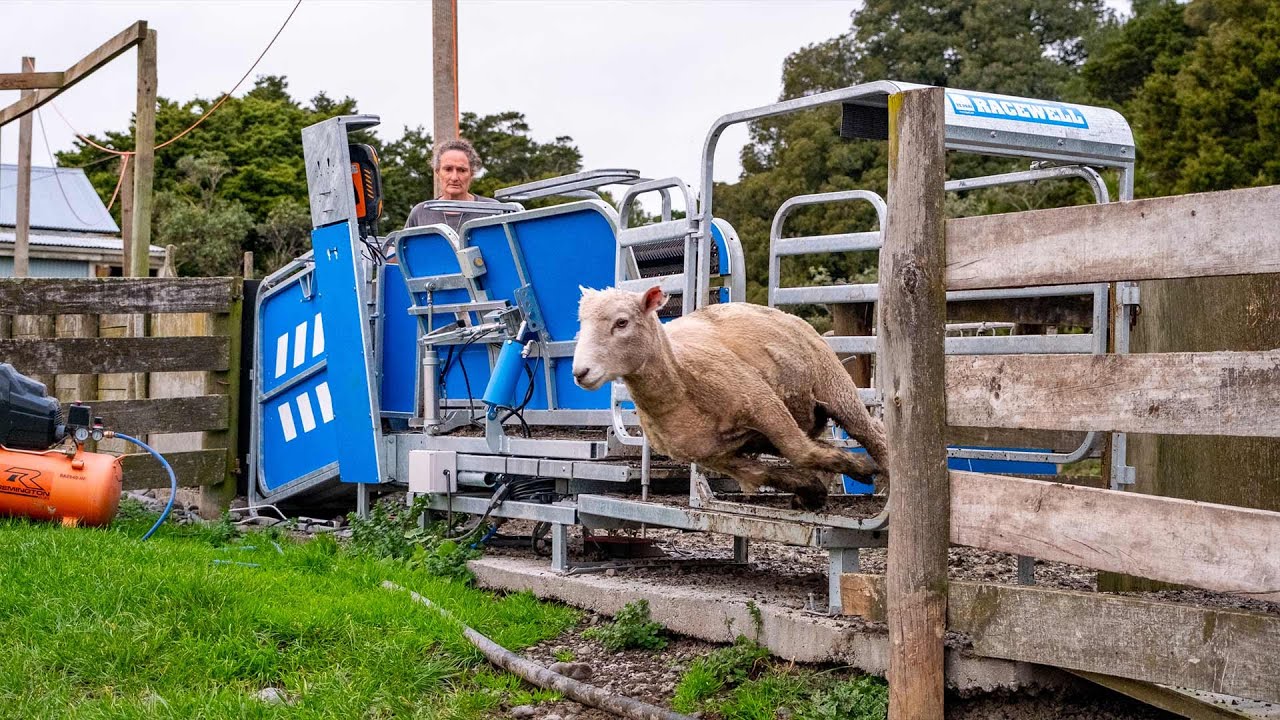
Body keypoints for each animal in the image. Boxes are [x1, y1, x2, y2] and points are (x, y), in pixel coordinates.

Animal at [572, 285, 889, 510]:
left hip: (832, 384)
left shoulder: (763, 404)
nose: (579, 372)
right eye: (581, 324)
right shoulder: (715, 456)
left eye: (621, 322)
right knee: (819, 444)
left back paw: (885, 472)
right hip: (774, 430)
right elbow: (762, 474)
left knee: (871, 433)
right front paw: (810, 490)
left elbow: (800, 451)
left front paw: (861, 469)